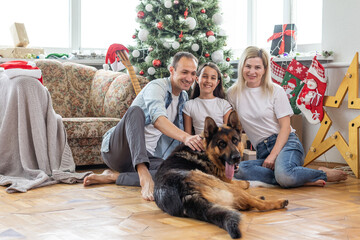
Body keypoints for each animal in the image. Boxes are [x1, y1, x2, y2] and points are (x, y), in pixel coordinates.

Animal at [153, 111, 288, 239]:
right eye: (221, 144)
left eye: (235, 140)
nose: (236, 158)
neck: (206, 151)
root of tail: (185, 194)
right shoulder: (225, 180)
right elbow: (244, 183)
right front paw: (245, 183)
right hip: (224, 186)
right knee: (256, 203)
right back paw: (278, 202)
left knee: (243, 203)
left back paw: (259, 197)